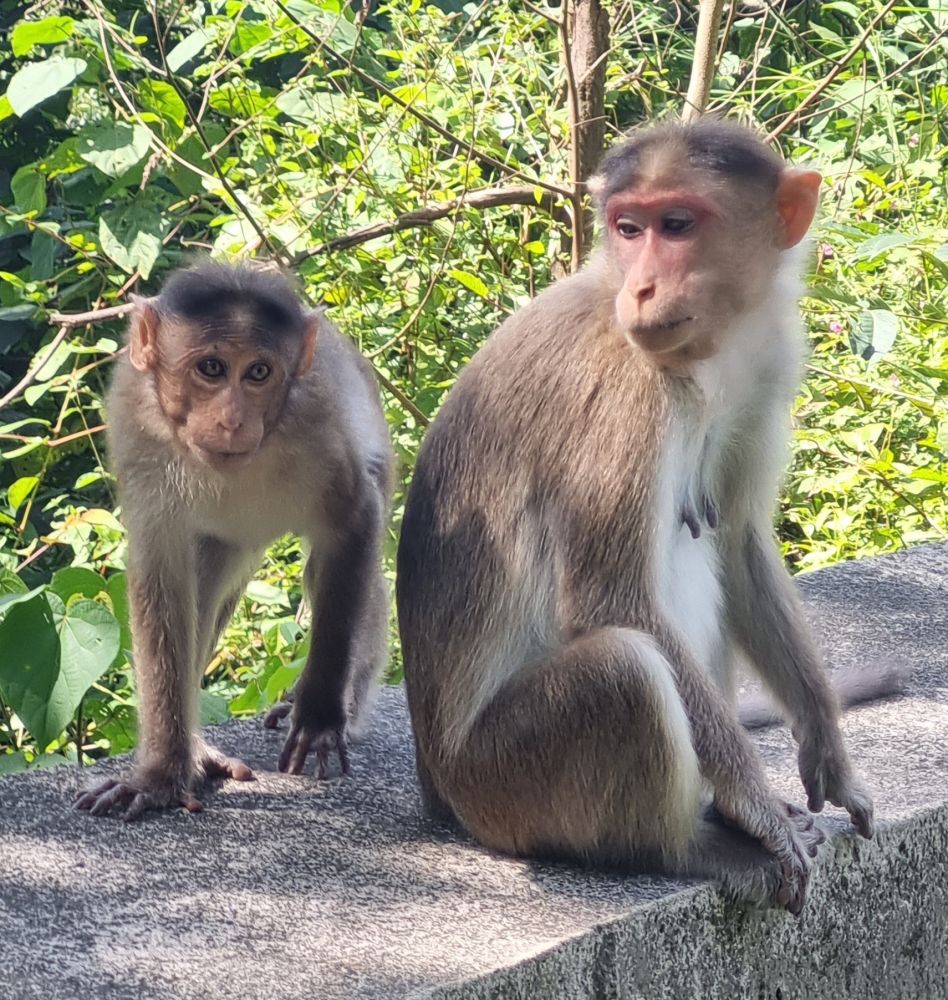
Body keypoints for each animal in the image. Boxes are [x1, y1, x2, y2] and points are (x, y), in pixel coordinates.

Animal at [76, 262, 393, 821]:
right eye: (211, 368)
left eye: (259, 373)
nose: (232, 419)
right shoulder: (137, 425)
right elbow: (162, 575)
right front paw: (159, 776)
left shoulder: (318, 422)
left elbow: (354, 522)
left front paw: (319, 717)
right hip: (232, 540)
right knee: (203, 582)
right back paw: (197, 750)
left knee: (333, 568)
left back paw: (345, 706)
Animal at [397, 119, 886, 915]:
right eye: (629, 228)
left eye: (677, 225)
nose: (642, 286)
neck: (708, 353)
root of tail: (438, 790)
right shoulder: (624, 390)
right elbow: (612, 601)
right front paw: (756, 807)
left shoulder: (769, 364)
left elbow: (740, 545)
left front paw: (827, 747)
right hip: (503, 783)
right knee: (623, 667)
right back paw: (688, 845)